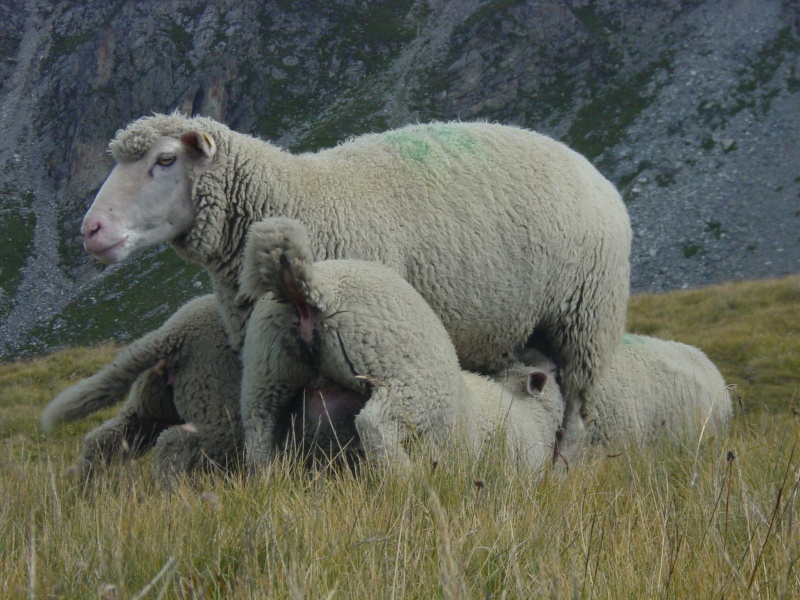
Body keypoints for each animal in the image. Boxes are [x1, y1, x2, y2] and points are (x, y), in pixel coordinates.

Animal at [79, 112, 632, 462]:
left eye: (165, 160)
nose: (91, 230)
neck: (297, 198)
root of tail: (592, 169)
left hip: (586, 319)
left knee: (575, 418)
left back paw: (560, 471)